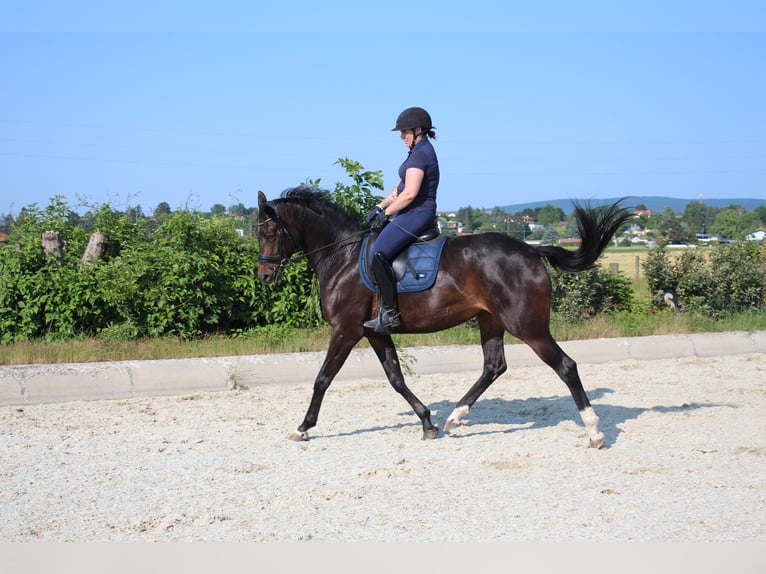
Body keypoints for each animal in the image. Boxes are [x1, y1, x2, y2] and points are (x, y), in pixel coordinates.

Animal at [256, 187, 632, 448]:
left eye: (270, 233)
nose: (264, 277)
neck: (342, 255)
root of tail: (531, 249)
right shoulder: (375, 331)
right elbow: (396, 378)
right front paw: (427, 422)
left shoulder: (346, 330)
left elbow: (323, 378)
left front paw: (303, 427)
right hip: (491, 321)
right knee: (493, 366)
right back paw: (454, 418)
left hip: (527, 326)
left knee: (565, 366)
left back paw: (594, 432)